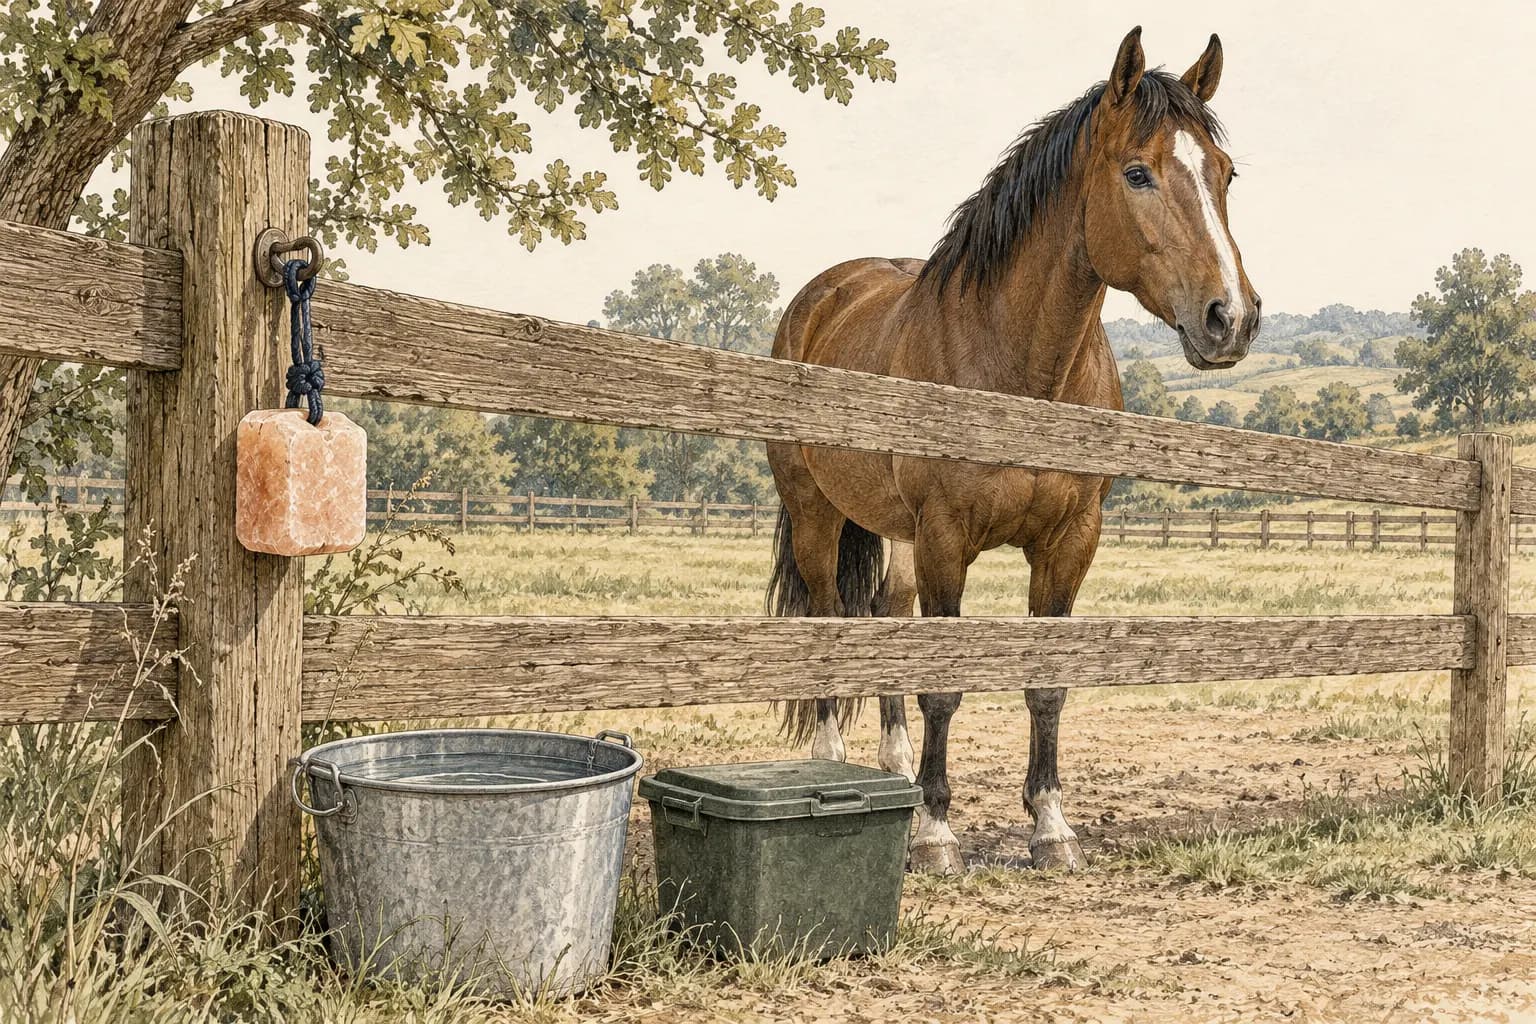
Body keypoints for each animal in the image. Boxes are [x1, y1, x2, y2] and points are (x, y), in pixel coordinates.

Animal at [765, 27, 1261, 874]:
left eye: (1225, 173)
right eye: (1137, 172)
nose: (1231, 317)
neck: (1018, 367)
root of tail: (821, 296)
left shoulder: (1069, 542)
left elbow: (1045, 684)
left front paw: (1051, 828)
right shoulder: (945, 538)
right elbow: (943, 686)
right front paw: (935, 835)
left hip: (894, 537)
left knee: (884, 617)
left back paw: (893, 768)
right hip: (817, 517)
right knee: (830, 622)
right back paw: (834, 761)